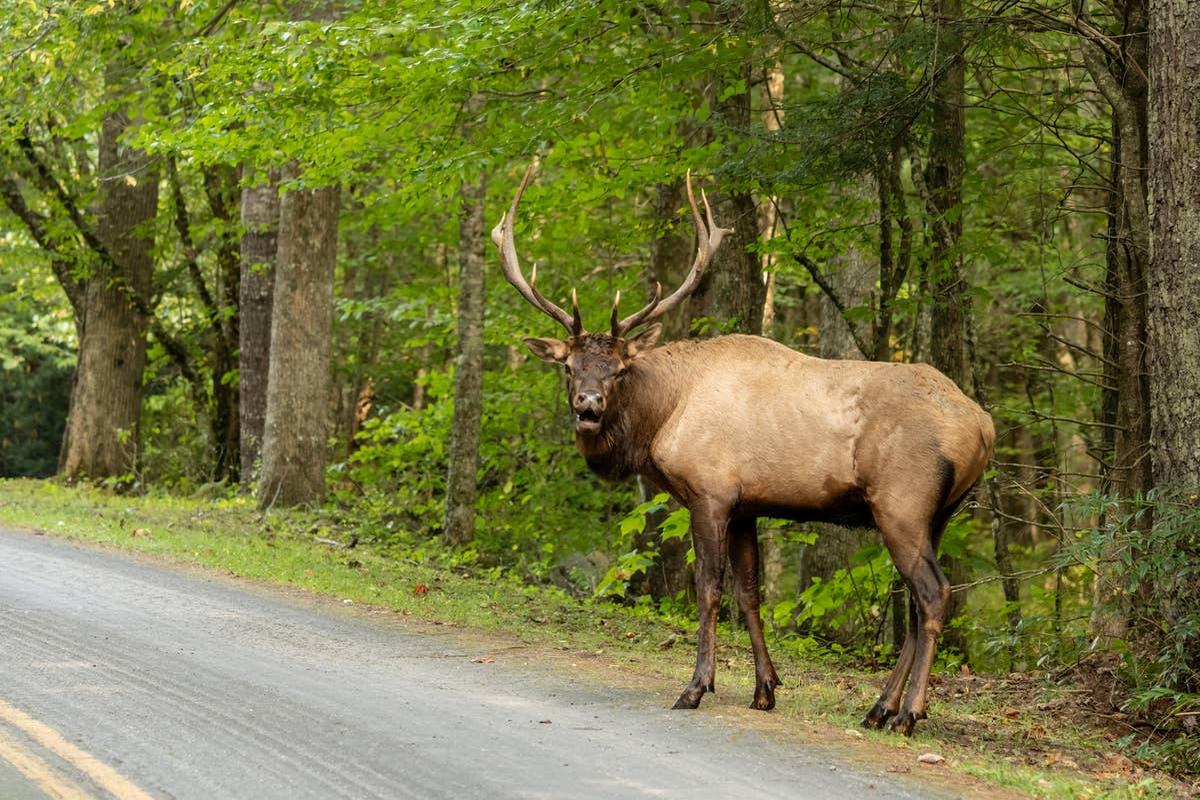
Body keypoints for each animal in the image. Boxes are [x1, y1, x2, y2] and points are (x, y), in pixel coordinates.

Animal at [493, 164, 995, 736]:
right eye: (569, 367)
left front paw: (696, 686)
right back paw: (879, 708)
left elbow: (709, 589)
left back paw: (908, 713)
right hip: (940, 514)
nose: (588, 405)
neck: (660, 418)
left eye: (618, 369)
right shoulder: (747, 505)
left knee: (932, 595)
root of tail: (985, 425)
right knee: (914, 603)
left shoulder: (709, 493)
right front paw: (765, 689)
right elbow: (750, 592)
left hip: (902, 503)